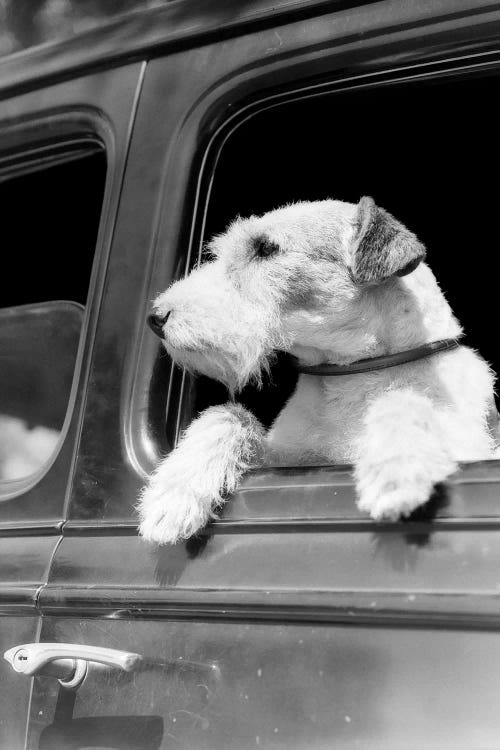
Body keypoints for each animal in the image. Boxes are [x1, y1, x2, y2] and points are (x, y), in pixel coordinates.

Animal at [136, 197, 496, 544]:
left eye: (266, 248)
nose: (156, 317)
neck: (350, 375)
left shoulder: (474, 450)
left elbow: (401, 400)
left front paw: (395, 476)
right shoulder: (282, 462)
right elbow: (229, 415)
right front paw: (171, 499)